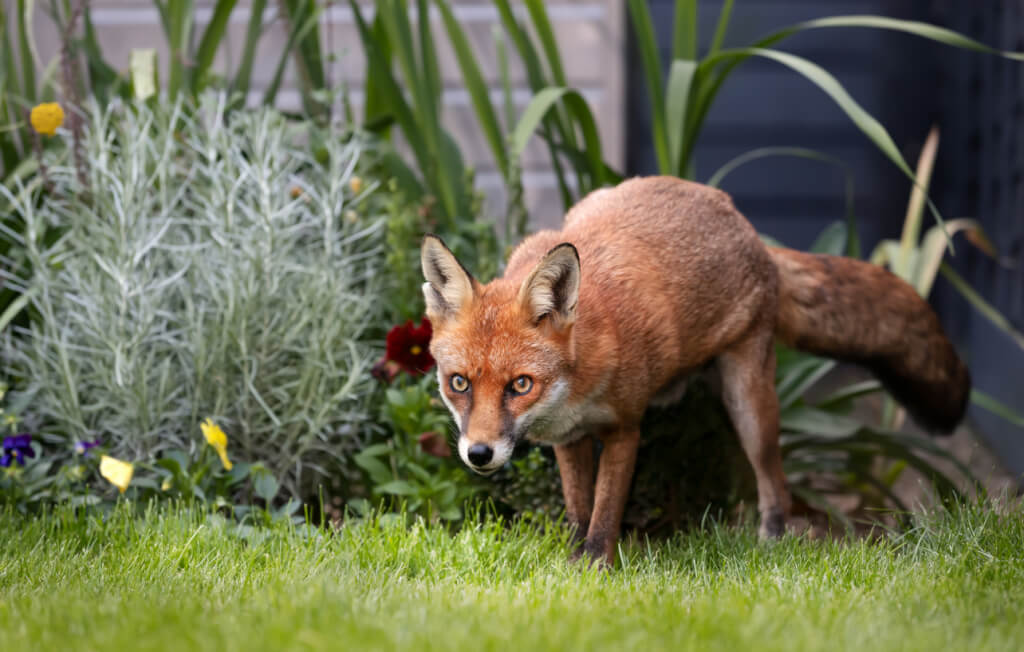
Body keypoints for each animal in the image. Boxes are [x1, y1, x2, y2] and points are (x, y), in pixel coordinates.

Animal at [419, 174, 970, 564]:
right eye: (458, 383)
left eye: (520, 384)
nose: (479, 454)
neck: (577, 381)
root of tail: (740, 219)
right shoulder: (569, 439)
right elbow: (579, 510)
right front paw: (571, 562)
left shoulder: (625, 429)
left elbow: (605, 511)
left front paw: (595, 568)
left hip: (749, 404)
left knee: (774, 480)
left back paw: (771, 543)